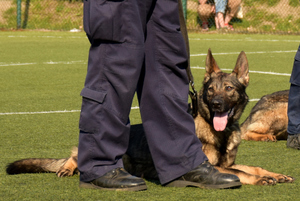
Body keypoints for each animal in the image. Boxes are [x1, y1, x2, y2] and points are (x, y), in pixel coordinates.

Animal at [5, 49, 294, 185]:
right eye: (211, 89)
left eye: (230, 89)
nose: (216, 103)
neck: (217, 134)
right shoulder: (213, 167)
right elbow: (239, 173)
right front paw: (260, 180)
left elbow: (251, 167)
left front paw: (274, 174)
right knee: (75, 155)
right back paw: (67, 168)